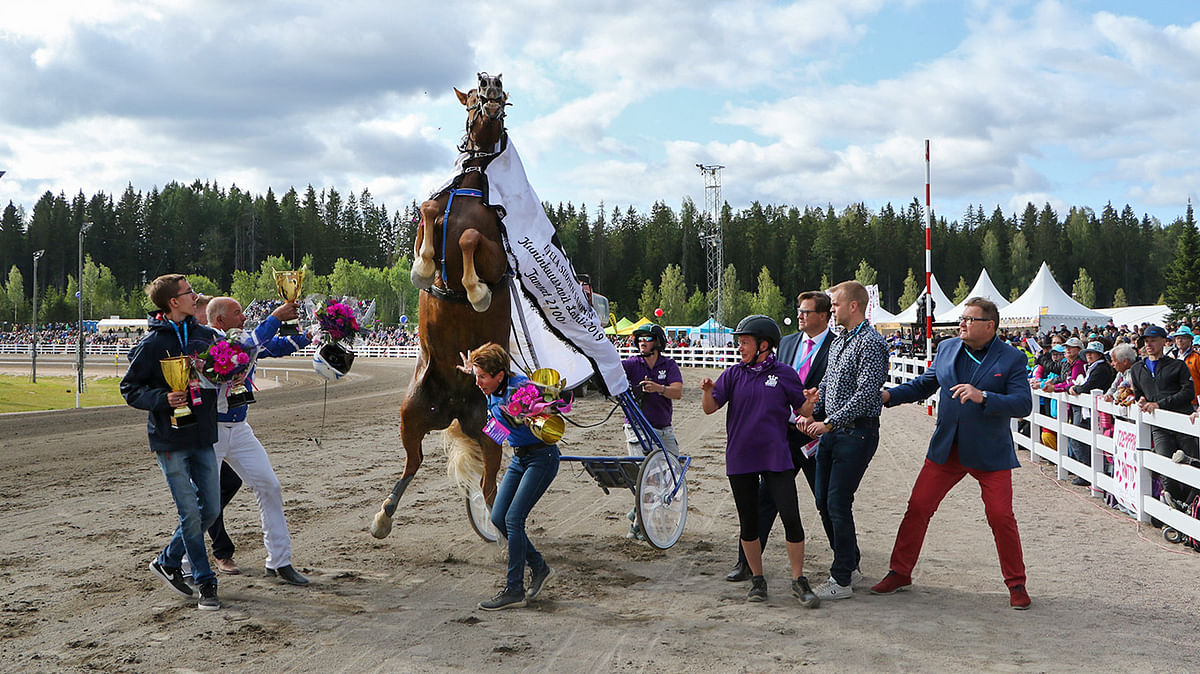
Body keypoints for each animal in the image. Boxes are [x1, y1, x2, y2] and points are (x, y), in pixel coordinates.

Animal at [369, 72, 511, 534]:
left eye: (503, 95)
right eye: (472, 96)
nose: (491, 84)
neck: (468, 196)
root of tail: (454, 406)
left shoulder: (496, 257)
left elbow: (469, 238)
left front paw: (476, 291)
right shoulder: (425, 220)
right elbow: (429, 209)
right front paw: (423, 266)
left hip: (490, 430)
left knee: (490, 482)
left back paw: (492, 524)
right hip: (411, 414)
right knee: (412, 463)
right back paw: (384, 515)